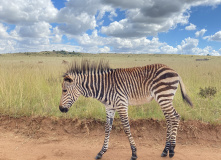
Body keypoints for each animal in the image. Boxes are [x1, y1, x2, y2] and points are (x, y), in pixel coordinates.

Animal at [58, 59, 192, 159]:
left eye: (64, 90)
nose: (60, 109)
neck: (104, 87)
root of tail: (174, 71)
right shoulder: (110, 108)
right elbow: (107, 129)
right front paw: (101, 152)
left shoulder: (121, 104)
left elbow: (126, 128)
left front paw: (134, 153)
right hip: (164, 99)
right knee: (169, 119)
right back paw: (165, 150)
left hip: (163, 96)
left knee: (175, 117)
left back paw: (172, 150)